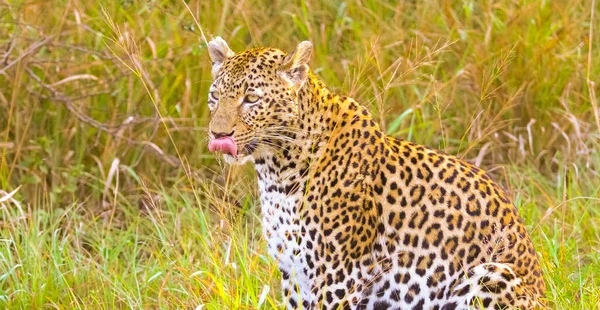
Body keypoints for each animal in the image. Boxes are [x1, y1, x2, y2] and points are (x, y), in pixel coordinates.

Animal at [204, 37, 548, 310]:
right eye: (215, 96)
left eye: (252, 98)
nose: (218, 134)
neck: (276, 171)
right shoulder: (293, 274)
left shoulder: (337, 275)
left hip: (491, 274)